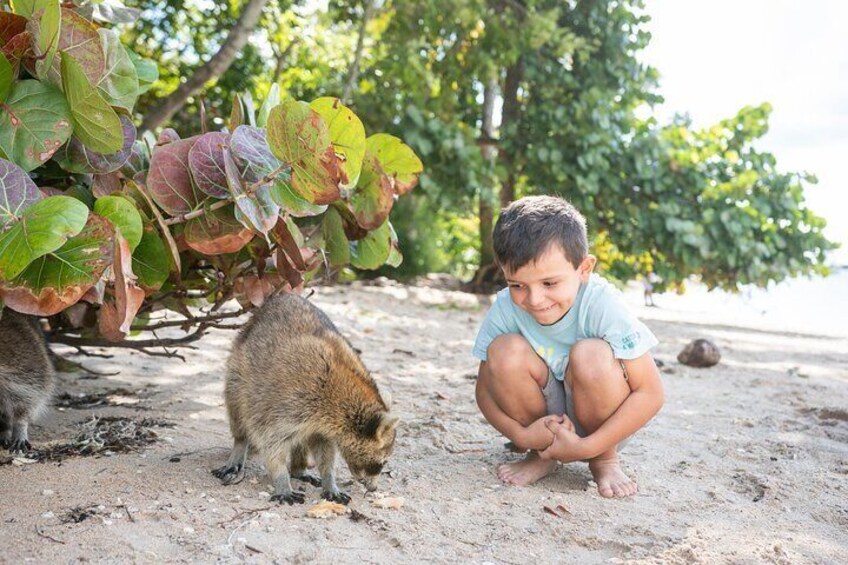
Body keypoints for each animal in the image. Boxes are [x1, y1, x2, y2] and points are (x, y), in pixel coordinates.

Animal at [212, 294, 398, 504]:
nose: (373, 489)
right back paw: (240, 445)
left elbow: (325, 451)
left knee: (301, 441)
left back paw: (298, 469)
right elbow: (271, 442)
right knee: (238, 411)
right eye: (382, 463)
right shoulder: (286, 403)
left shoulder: (322, 427)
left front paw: (329, 479)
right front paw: (281, 479)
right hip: (238, 374)